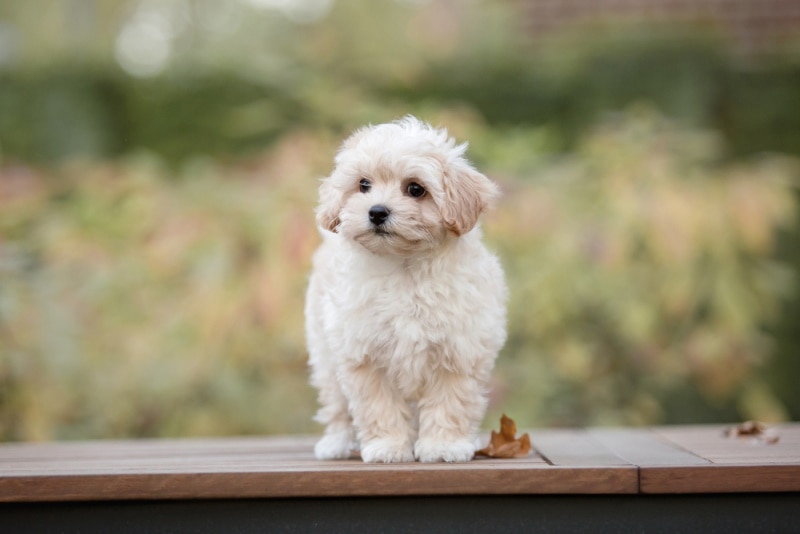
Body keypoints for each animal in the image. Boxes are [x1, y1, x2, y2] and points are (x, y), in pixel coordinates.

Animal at [306, 117, 506, 464]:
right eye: (363, 184)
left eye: (415, 189)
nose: (376, 212)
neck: (404, 268)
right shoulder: (364, 354)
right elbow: (378, 406)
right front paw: (387, 446)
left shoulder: (459, 350)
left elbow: (450, 402)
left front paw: (443, 446)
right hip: (325, 353)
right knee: (335, 404)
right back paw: (335, 443)